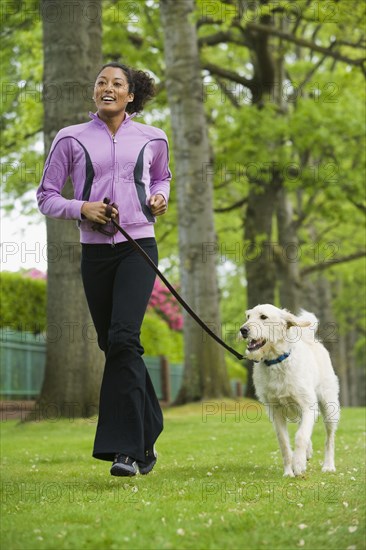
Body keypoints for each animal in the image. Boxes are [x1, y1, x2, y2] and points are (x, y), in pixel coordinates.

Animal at [240, 306, 340, 478]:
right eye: (248, 316)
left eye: (263, 317)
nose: (243, 330)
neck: (276, 362)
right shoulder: (276, 412)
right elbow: (284, 443)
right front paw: (288, 471)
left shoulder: (308, 406)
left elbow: (300, 436)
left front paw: (298, 464)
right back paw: (308, 452)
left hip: (329, 407)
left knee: (329, 439)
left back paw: (328, 465)